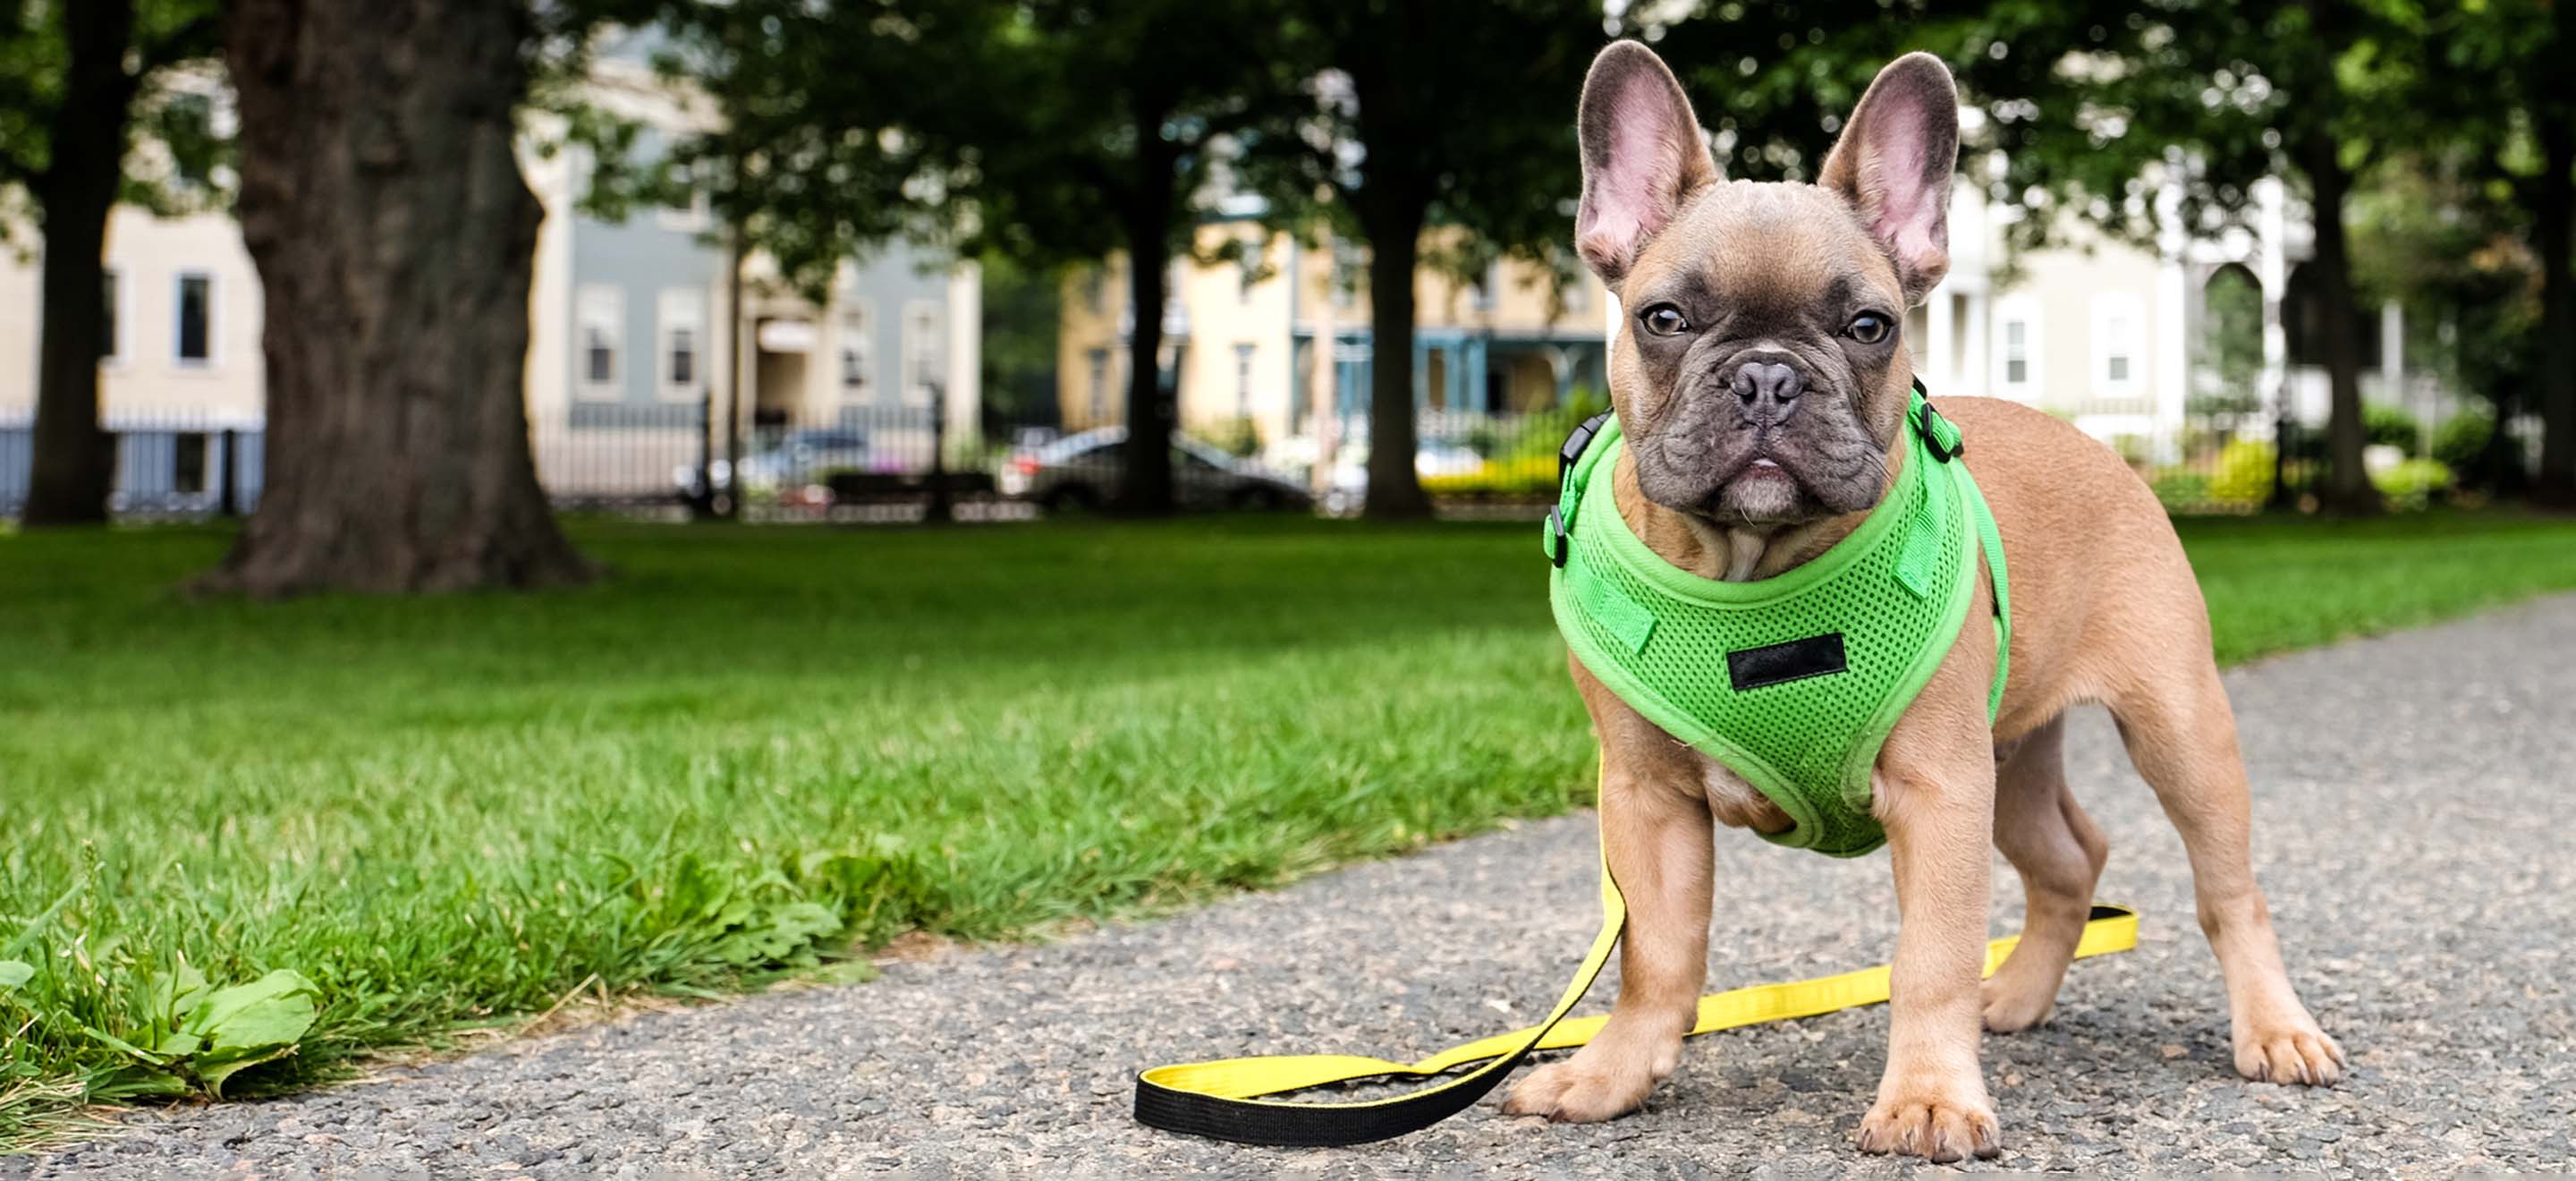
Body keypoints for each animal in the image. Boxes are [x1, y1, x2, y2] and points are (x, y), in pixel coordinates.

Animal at [1494, 41, 2360, 1160]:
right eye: (1664, 320)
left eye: (1869, 325)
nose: (1767, 378)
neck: (1749, 567)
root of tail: (2103, 447)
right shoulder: (1646, 798)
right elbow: (1658, 953)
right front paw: (1609, 1077)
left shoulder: (1941, 792)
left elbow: (1932, 956)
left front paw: (1931, 1098)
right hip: (2010, 757)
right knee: (2071, 859)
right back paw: (2019, 997)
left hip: (2176, 728)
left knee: (2228, 889)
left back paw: (2277, 1031)